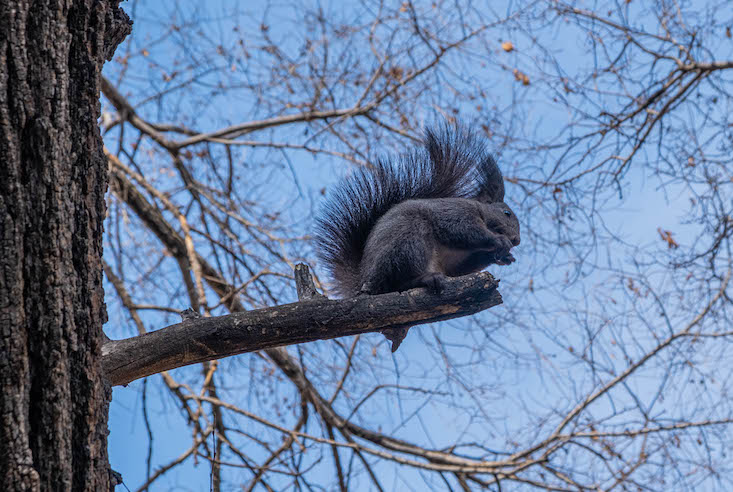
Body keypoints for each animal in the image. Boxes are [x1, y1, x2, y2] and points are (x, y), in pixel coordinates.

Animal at [314, 125, 520, 352]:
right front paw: (498, 242)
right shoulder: (455, 213)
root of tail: (365, 283)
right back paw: (425, 279)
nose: (517, 240)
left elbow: (464, 267)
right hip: (409, 241)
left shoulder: (458, 261)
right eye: (507, 213)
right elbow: (463, 230)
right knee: (399, 282)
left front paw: (503, 257)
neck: (480, 211)